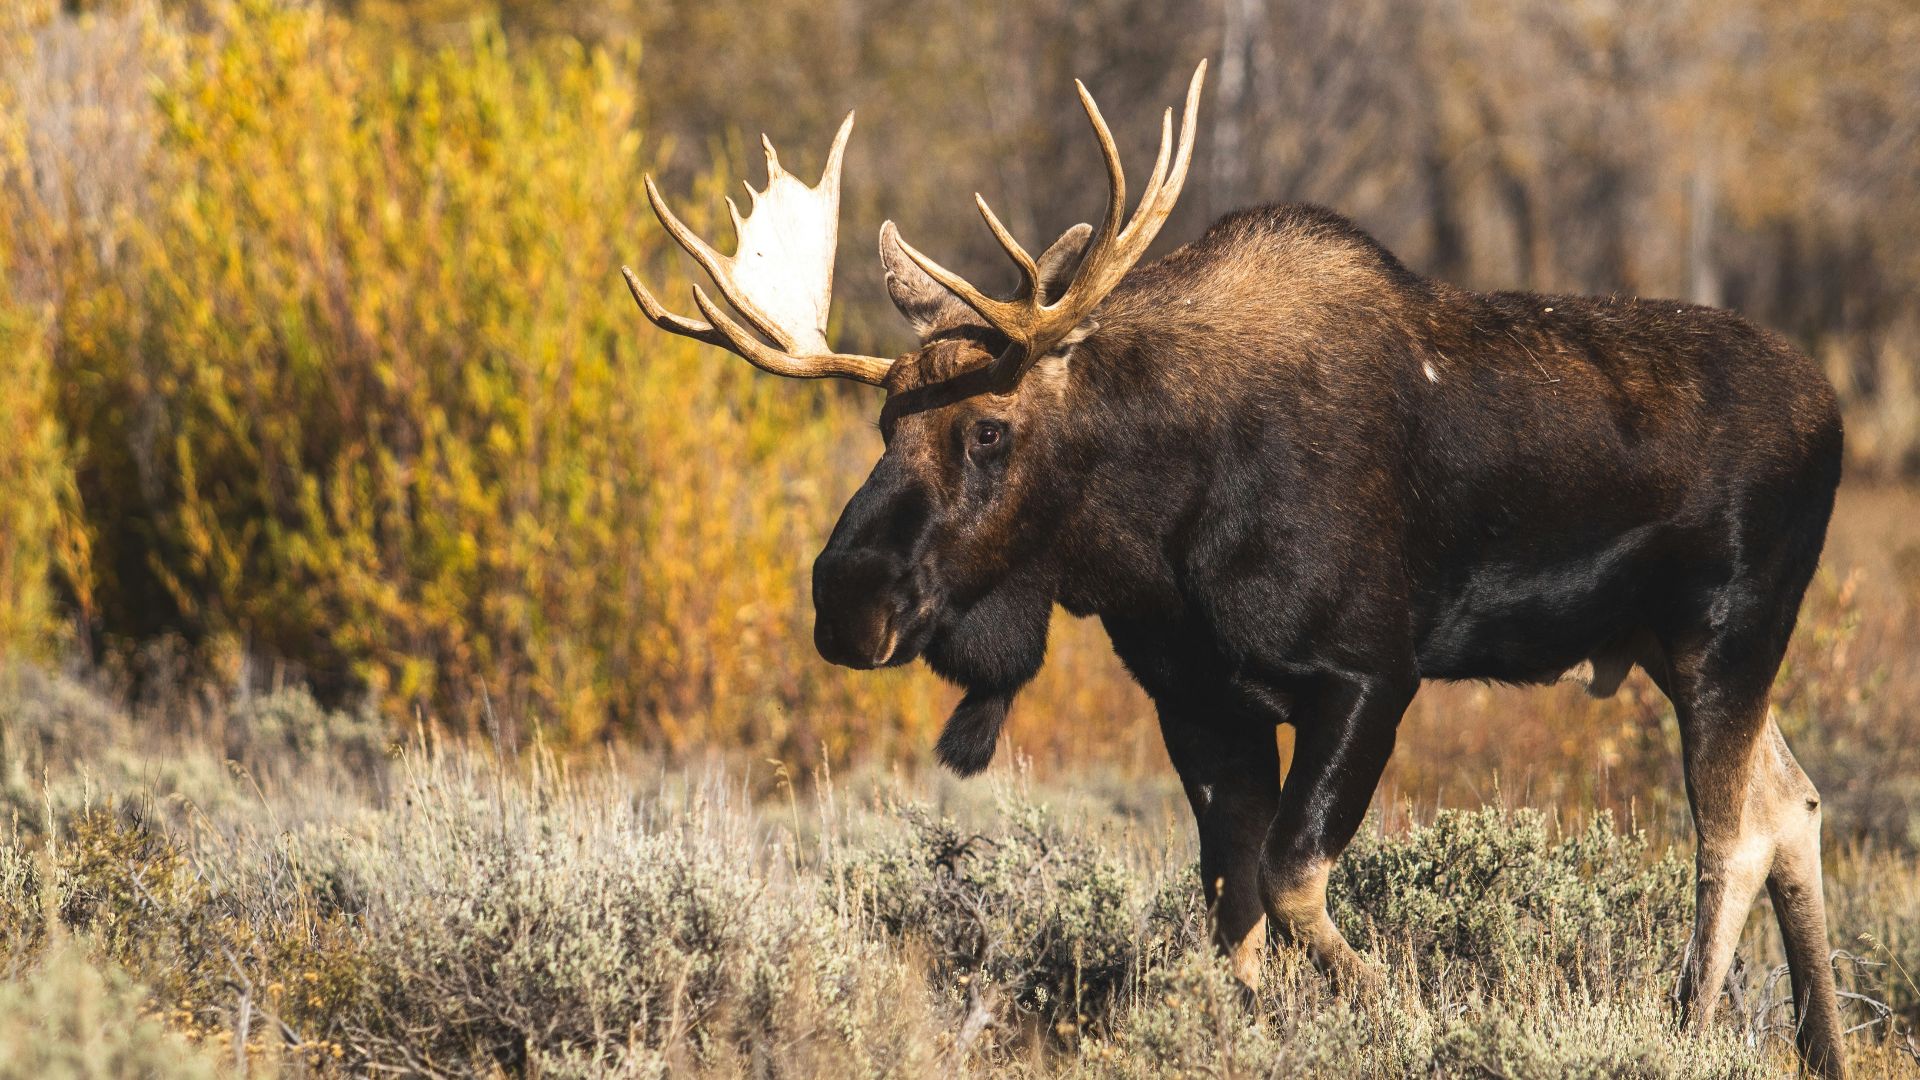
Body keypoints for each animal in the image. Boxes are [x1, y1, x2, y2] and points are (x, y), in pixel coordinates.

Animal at [622, 62, 1848, 1077]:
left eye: (990, 428)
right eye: (885, 423)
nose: (847, 598)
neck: (1156, 536)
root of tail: (1833, 411)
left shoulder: (1369, 674)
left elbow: (1296, 880)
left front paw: (1403, 1017)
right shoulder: (1199, 699)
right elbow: (1234, 905)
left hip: (1726, 631)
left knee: (1730, 833)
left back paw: (1687, 1029)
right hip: (1664, 645)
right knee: (1792, 800)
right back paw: (1819, 1049)